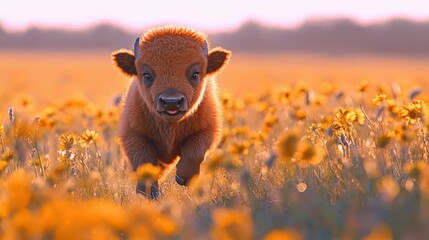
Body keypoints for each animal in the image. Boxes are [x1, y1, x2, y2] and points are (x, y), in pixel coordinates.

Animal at [112, 25, 229, 199]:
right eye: (147, 75)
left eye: (195, 74)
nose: (171, 102)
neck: (170, 127)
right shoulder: (133, 135)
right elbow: (144, 161)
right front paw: (148, 192)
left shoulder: (207, 131)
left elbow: (194, 152)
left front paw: (183, 178)